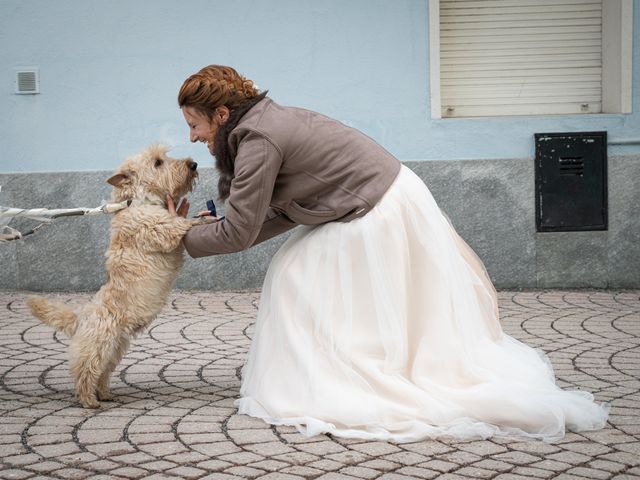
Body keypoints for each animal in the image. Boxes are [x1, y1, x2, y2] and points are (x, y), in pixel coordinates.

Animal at [26, 144, 202, 406]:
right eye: (158, 162)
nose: (193, 164)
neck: (136, 201)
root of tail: (81, 318)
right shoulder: (160, 229)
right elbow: (179, 223)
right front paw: (204, 218)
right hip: (99, 346)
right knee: (85, 371)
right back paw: (89, 401)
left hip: (114, 350)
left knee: (102, 373)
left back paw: (105, 394)